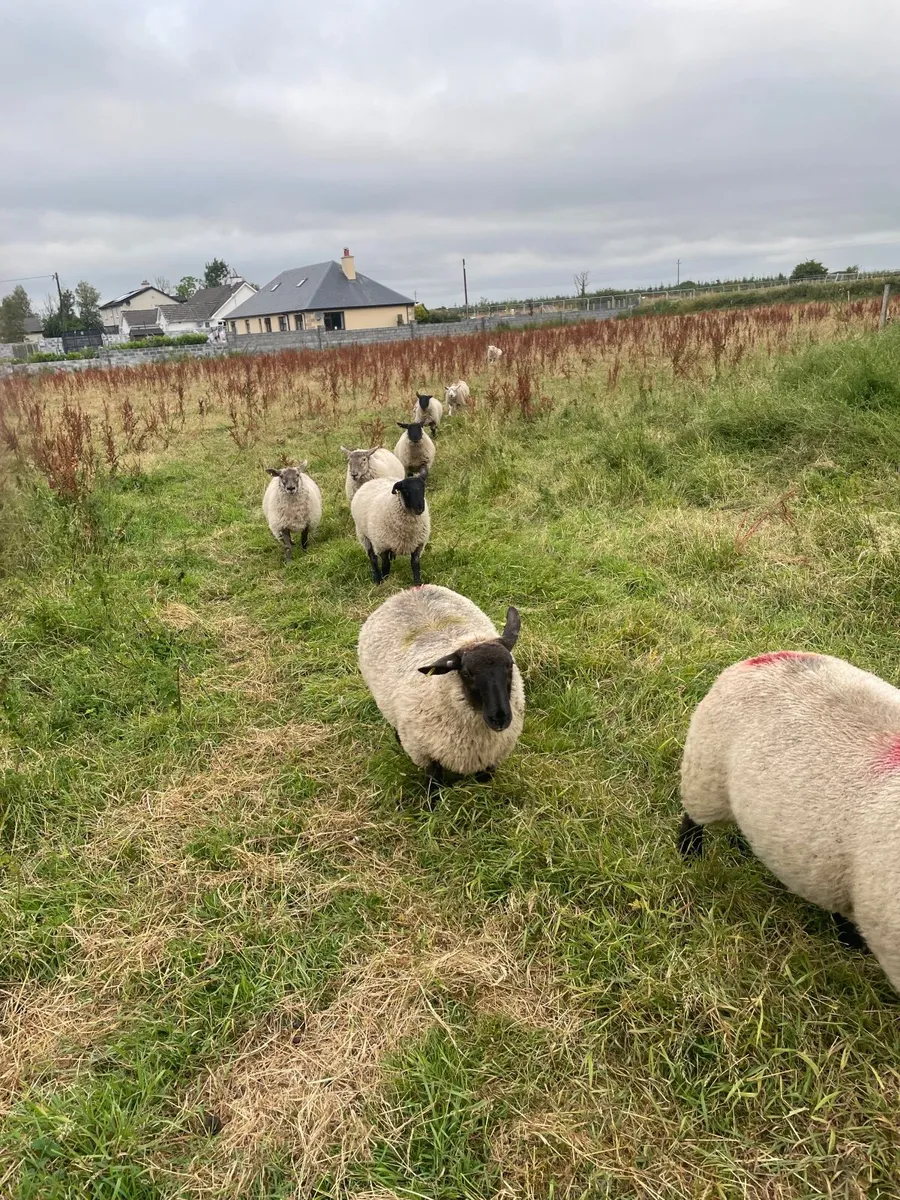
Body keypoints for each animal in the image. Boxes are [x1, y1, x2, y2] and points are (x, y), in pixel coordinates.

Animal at [358, 584, 524, 794]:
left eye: (510, 665)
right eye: (466, 673)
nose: (499, 718)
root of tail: (410, 589)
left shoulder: (491, 758)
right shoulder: (426, 754)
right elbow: (433, 785)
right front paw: (431, 803)